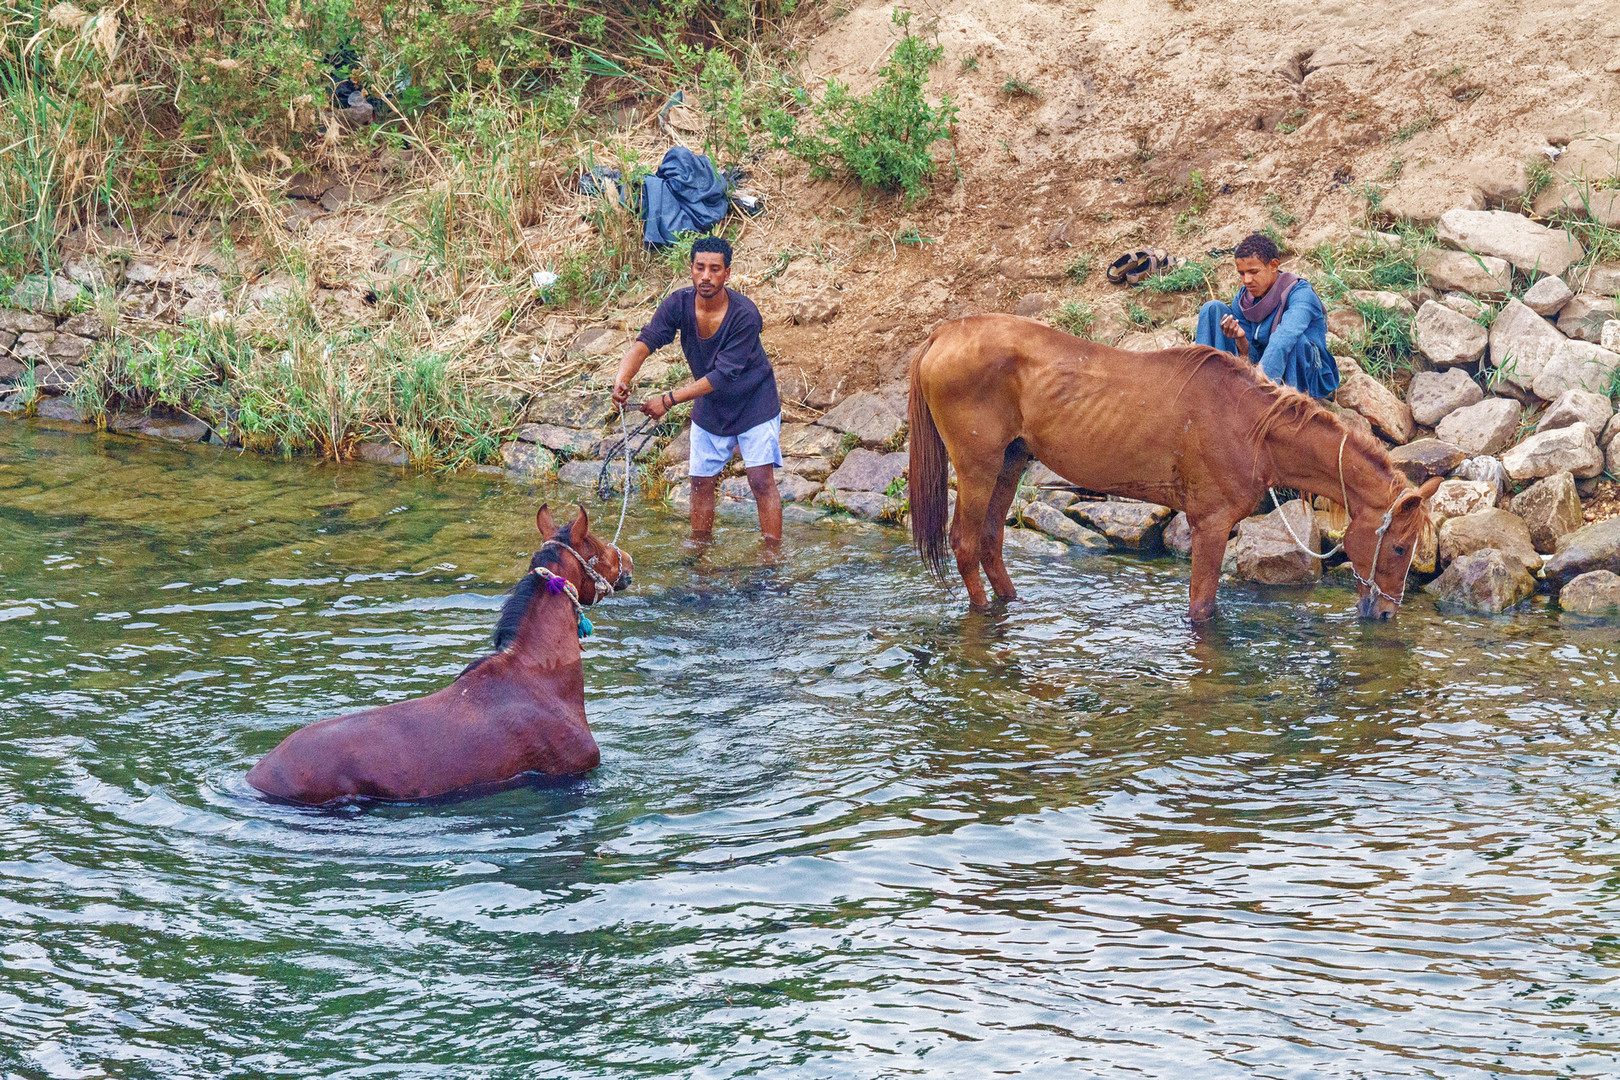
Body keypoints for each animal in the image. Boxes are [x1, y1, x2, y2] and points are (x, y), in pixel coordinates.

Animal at [913, 312, 1445, 625]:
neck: (1252, 428)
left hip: (1010, 462)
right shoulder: (1210, 524)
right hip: (978, 467)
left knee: (989, 541)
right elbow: (1202, 608)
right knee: (964, 543)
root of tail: (943, 332)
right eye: (1400, 547)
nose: (1386, 613)